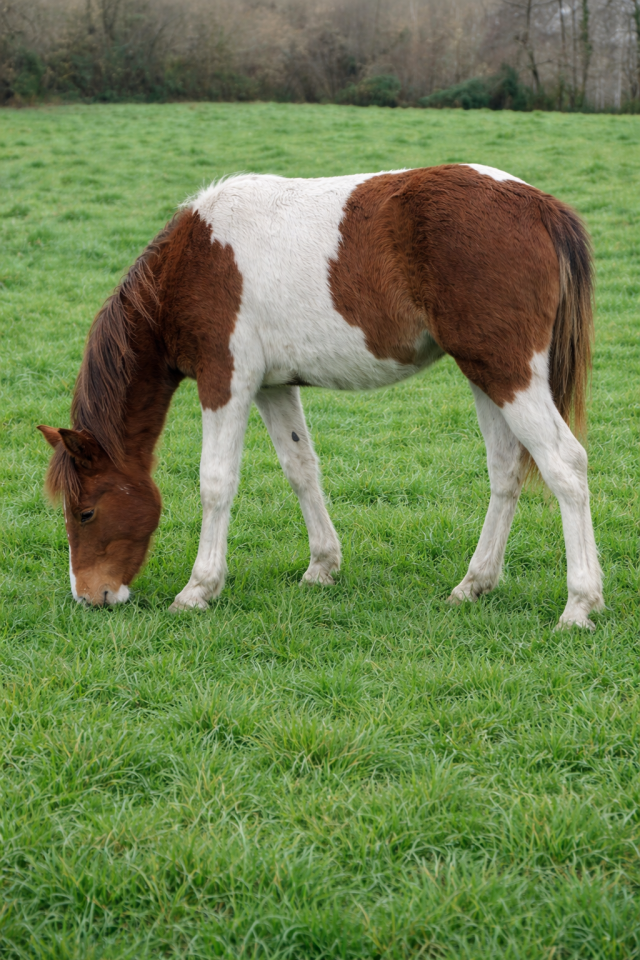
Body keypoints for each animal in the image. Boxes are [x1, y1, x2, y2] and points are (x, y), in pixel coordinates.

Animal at [38, 163, 604, 629]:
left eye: (85, 512)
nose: (89, 595)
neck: (193, 260)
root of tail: (538, 206)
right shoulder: (272, 386)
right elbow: (301, 468)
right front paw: (322, 566)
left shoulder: (227, 380)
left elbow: (216, 483)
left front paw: (198, 589)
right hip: (484, 373)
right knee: (506, 471)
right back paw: (474, 583)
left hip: (509, 373)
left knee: (566, 465)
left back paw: (580, 605)